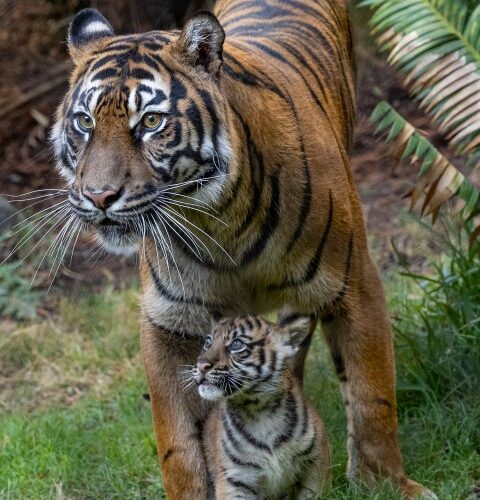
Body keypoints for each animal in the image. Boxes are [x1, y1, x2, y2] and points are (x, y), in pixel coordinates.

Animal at [52, 1, 436, 498]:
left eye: (151, 122)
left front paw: (384, 483)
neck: (220, 220)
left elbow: (373, 395)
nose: (99, 197)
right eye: (85, 122)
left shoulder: (355, 285)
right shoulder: (168, 321)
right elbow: (177, 442)